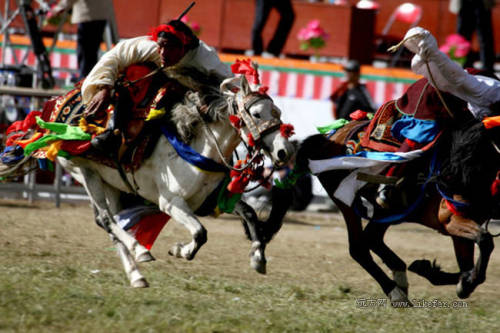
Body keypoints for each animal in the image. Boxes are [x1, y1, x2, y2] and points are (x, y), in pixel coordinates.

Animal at [0, 64, 294, 286]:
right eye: (256, 113)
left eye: (277, 112)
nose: (284, 151)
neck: (197, 144)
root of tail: (53, 113)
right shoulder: (171, 203)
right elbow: (200, 233)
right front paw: (180, 250)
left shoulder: (209, 201)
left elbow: (250, 214)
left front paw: (258, 257)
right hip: (84, 172)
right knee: (105, 219)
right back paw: (140, 250)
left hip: (112, 184)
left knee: (113, 222)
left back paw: (136, 275)